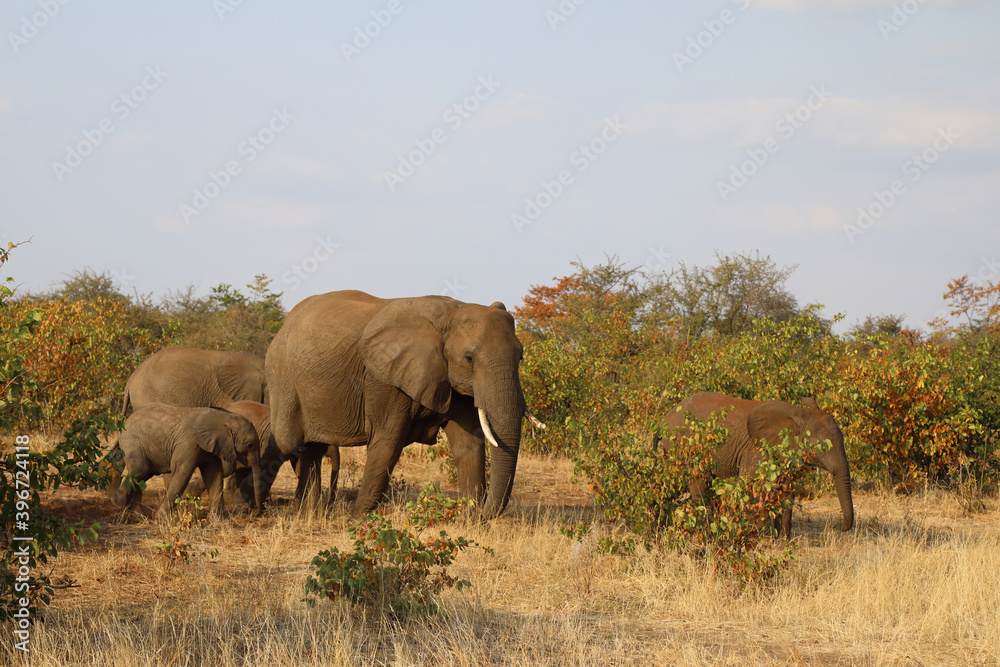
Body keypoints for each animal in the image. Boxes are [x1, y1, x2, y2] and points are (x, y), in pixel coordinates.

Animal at [109, 403, 264, 517]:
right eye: (250, 445)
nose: (256, 513)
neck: (224, 416)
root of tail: (124, 422)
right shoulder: (189, 442)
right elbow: (182, 473)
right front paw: (161, 519)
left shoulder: (210, 446)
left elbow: (214, 475)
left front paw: (219, 519)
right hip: (133, 441)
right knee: (140, 470)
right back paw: (118, 503)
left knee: (143, 473)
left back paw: (139, 517)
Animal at [265, 290, 543, 518]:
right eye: (469, 358)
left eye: (521, 357)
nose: (484, 512)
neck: (451, 313)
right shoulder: (384, 378)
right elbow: (388, 442)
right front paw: (355, 520)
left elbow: (469, 444)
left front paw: (471, 521)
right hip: (283, 377)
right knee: (291, 443)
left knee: (312, 448)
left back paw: (309, 514)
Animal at [658, 392, 854, 538]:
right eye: (822, 447)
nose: (838, 527)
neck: (799, 414)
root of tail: (665, 418)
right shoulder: (757, 450)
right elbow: (755, 488)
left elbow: (786, 490)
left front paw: (782, 541)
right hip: (685, 446)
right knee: (700, 487)